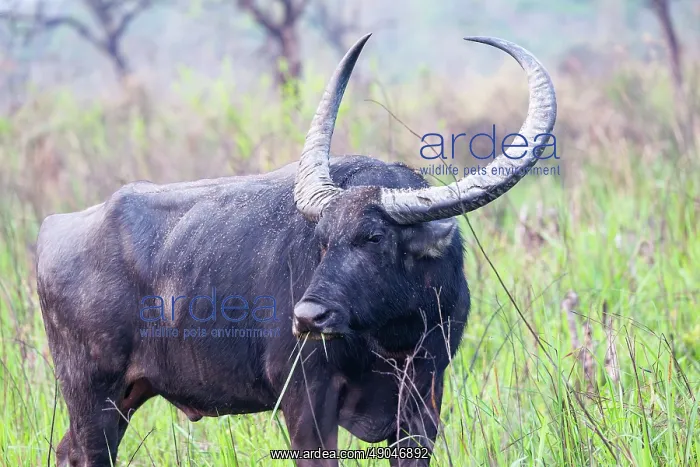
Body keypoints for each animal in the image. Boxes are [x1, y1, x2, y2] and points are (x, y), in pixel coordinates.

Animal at [36, 34, 556, 466]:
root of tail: (53, 228)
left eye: (374, 237)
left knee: (66, 450)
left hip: (122, 397)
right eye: (322, 242)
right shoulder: (306, 401)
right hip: (92, 398)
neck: (390, 338)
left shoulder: (424, 401)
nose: (308, 317)